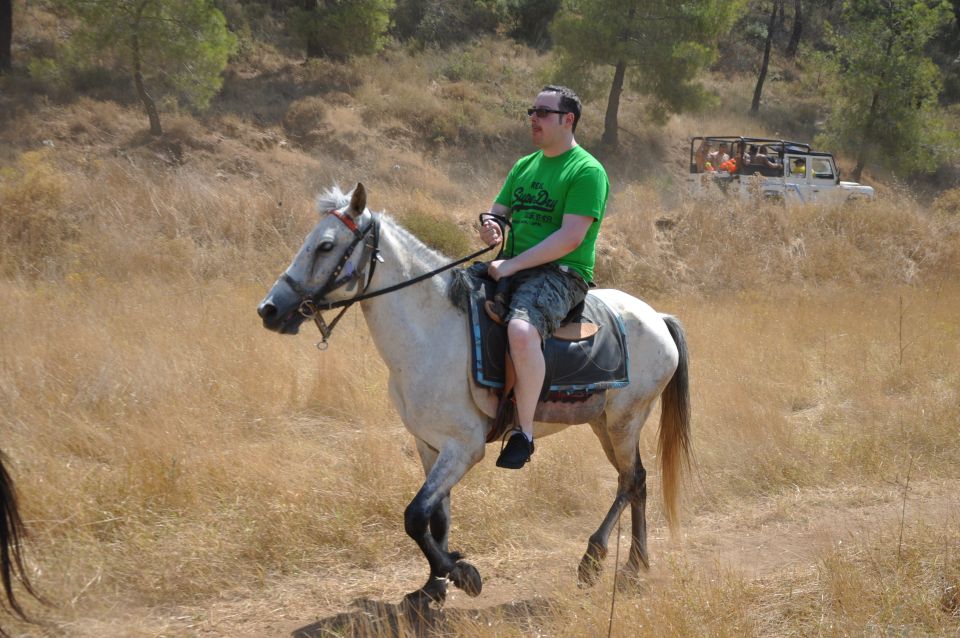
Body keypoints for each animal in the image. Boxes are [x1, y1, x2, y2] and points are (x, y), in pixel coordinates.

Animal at [257, 184, 692, 605]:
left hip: (624, 421)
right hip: (603, 423)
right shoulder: (429, 444)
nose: (269, 309)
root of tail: (657, 317)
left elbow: (414, 515)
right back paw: (634, 565)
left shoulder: (464, 447)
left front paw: (461, 573)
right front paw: (432, 586)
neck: (432, 333)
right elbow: (437, 516)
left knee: (631, 480)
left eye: (326, 245)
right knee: (635, 481)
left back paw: (599, 559)